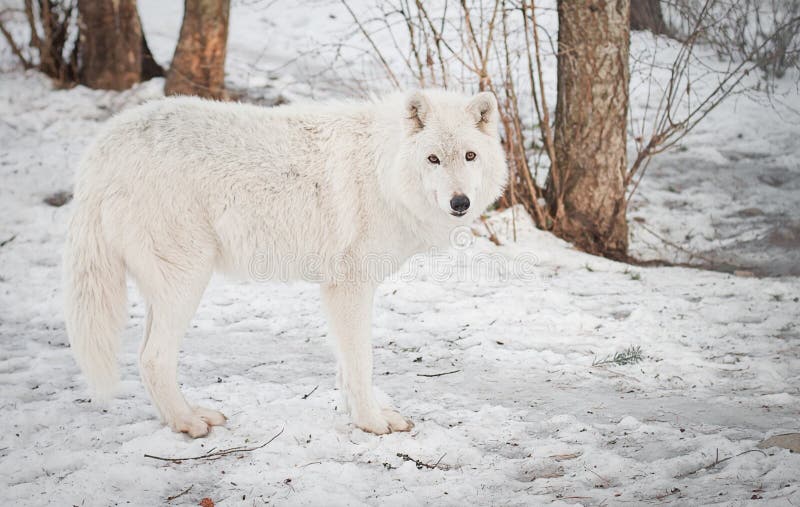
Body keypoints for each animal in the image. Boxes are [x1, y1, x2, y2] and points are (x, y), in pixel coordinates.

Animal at [65, 90, 510, 436]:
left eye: (470, 155)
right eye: (433, 159)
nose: (460, 202)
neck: (382, 172)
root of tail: (101, 149)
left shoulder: (339, 292)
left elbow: (346, 367)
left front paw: (360, 415)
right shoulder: (348, 287)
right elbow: (361, 364)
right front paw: (372, 423)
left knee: (145, 358)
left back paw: (183, 417)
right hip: (187, 281)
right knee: (153, 358)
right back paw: (189, 424)